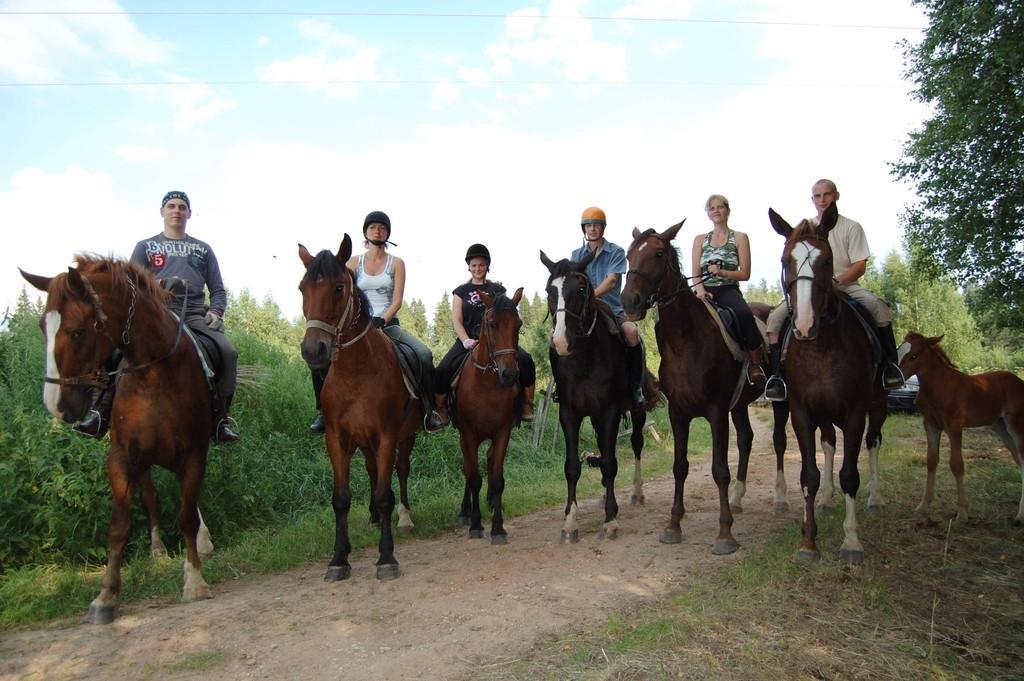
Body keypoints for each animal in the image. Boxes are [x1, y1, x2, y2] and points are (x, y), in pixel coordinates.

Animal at [19, 254, 214, 622]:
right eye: (41, 327)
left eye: (77, 331)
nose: (57, 406)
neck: (154, 373)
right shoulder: (122, 456)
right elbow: (119, 527)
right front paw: (106, 596)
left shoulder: (195, 451)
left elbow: (186, 514)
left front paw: (194, 581)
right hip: (144, 460)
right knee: (150, 495)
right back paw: (157, 550)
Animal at [299, 237, 419, 577]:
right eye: (302, 288)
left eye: (339, 288)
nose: (313, 350)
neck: (356, 373)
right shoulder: (336, 439)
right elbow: (341, 499)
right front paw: (339, 559)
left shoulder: (388, 436)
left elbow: (384, 494)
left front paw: (387, 557)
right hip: (365, 443)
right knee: (372, 470)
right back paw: (374, 519)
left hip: (405, 436)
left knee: (401, 470)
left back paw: (404, 518)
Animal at [452, 286, 524, 540]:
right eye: (491, 324)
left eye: (518, 325)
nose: (509, 374)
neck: (486, 386)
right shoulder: (469, 434)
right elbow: (474, 478)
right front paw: (476, 524)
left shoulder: (502, 433)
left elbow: (497, 477)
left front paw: (498, 527)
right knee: (468, 469)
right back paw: (465, 511)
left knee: (489, 462)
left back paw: (491, 501)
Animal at [618, 223, 778, 552]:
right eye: (629, 254)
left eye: (658, 253)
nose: (630, 301)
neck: (687, 342)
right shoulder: (679, 414)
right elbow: (680, 466)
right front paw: (673, 525)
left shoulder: (716, 411)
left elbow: (719, 469)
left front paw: (725, 533)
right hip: (740, 405)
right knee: (746, 439)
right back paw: (738, 498)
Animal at [770, 201, 888, 561]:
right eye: (786, 261)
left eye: (826, 261)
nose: (804, 325)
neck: (820, 347)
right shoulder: (801, 412)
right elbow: (809, 474)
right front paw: (808, 541)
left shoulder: (855, 413)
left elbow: (850, 474)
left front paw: (851, 541)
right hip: (823, 414)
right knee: (828, 444)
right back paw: (825, 499)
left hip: (878, 406)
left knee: (874, 443)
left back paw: (875, 499)